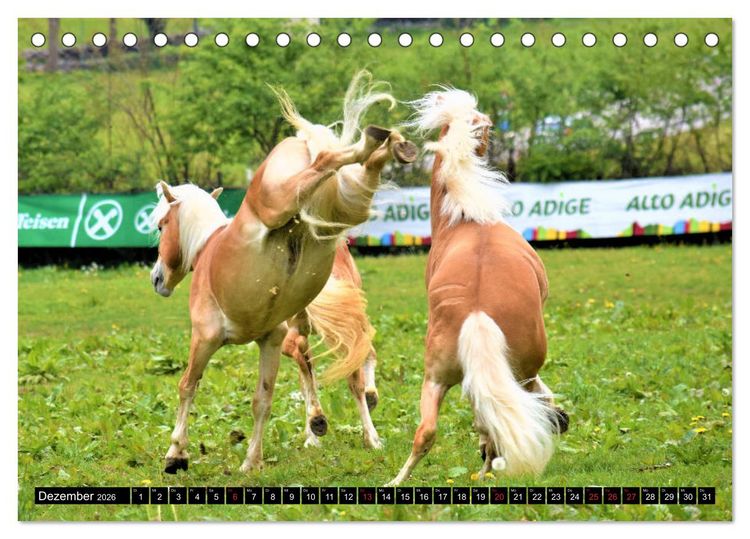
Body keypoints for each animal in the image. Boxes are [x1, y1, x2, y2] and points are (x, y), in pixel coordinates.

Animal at [149, 71, 416, 474]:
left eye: (162, 225)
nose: (157, 278)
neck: (210, 246)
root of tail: (300, 144)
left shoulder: (205, 337)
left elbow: (187, 385)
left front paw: (176, 453)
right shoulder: (271, 340)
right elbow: (263, 399)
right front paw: (251, 462)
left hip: (281, 201)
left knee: (326, 160)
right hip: (344, 207)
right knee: (359, 175)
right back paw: (386, 143)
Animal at [387, 89, 568, 486]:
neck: (466, 218)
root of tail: (477, 312)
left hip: (437, 378)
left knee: (429, 431)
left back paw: (398, 480)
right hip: (520, 370)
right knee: (520, 406)